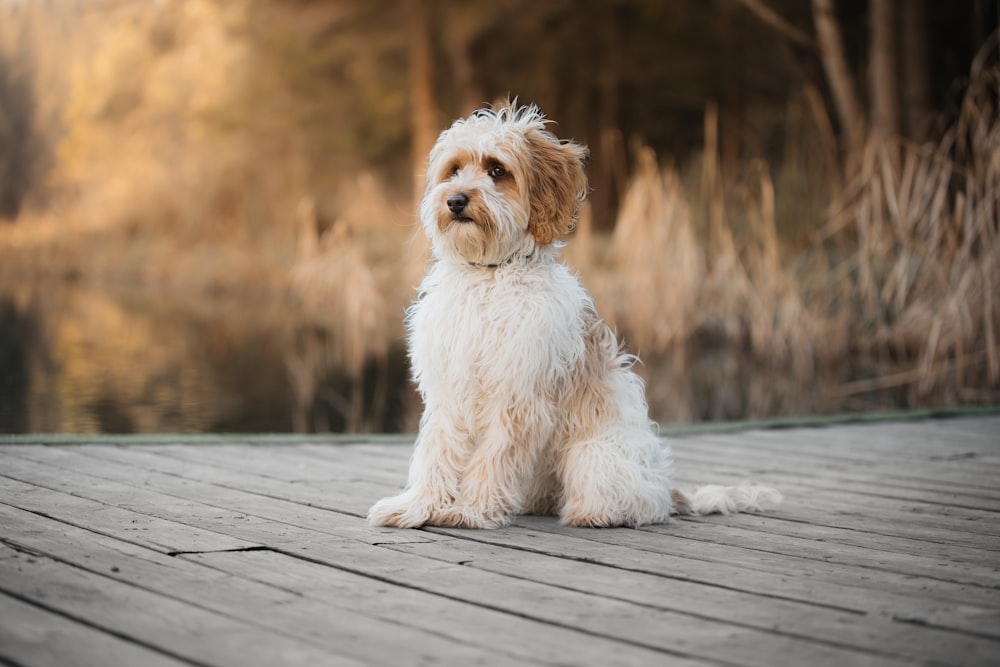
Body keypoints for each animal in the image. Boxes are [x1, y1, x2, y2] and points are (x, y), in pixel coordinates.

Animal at [368, 103, 780, 532]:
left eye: (497, 170)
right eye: (454, 169)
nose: (456, 200)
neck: (490, 275)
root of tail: (665, 488)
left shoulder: (518, 394)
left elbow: (494, 455)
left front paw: (472, 509)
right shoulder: (450, 387)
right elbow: (436, 450)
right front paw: (416, 505)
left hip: (595, 456)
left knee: (633, 502)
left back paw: (593, 513)